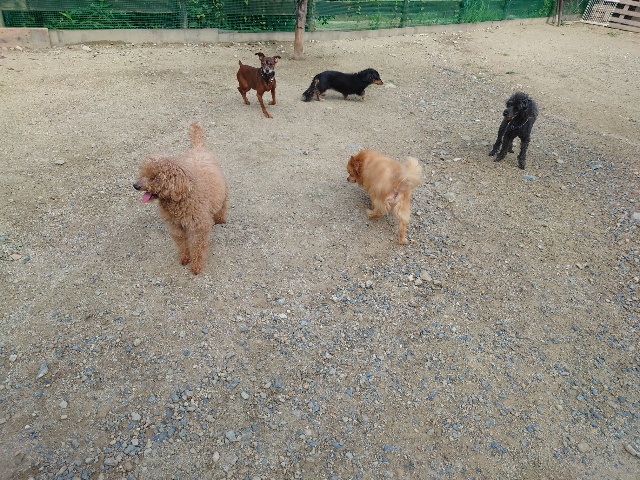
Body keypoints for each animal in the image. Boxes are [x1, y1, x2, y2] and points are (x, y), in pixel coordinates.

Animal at [133, 122, 228, 275]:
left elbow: (197, 247)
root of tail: (198, 147)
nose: (135, 185)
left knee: (223, 205)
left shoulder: (199, 228)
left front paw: (196, 267)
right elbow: (182, 243)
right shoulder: (176, 227)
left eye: (155, 178)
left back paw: (220, 219)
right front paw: (184, 258)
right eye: (143, 174)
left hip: (224, 191)